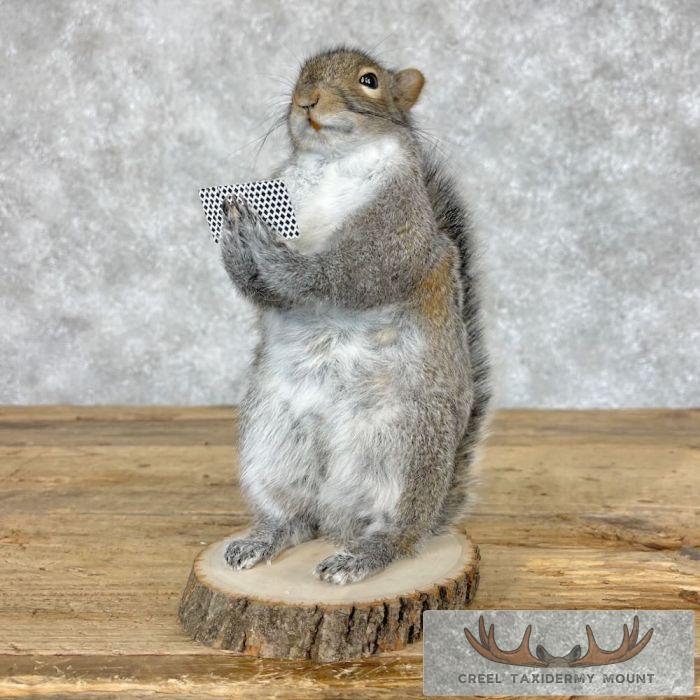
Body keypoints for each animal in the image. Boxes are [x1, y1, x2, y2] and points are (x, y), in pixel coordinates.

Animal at [219, 47, 491, 585]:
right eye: (300, 75)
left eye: (369, 81)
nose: (306, 100)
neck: (332, 163)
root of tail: (337, 519)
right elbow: (261, 291)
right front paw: (235, 234)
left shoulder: (395, 229)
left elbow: (341, 275)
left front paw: (265, 242)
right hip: (270, 441)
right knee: (295, 517)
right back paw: (264, 538)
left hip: (403, 448)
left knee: (394, 533)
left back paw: (361, 557)